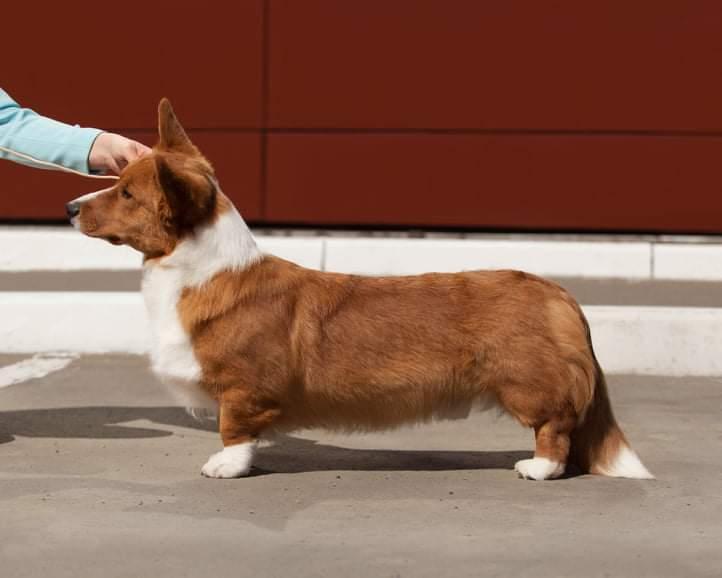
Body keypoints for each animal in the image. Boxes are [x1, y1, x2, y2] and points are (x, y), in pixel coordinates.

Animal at [67, 98, 652, 476]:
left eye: (126, 194)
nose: (70, 207)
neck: (199, 269)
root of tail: (559, 294)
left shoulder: (242, 389)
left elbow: (235, 428)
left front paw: (225, 465)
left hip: (528, 386)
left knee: (555, 429)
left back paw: (536, 468)